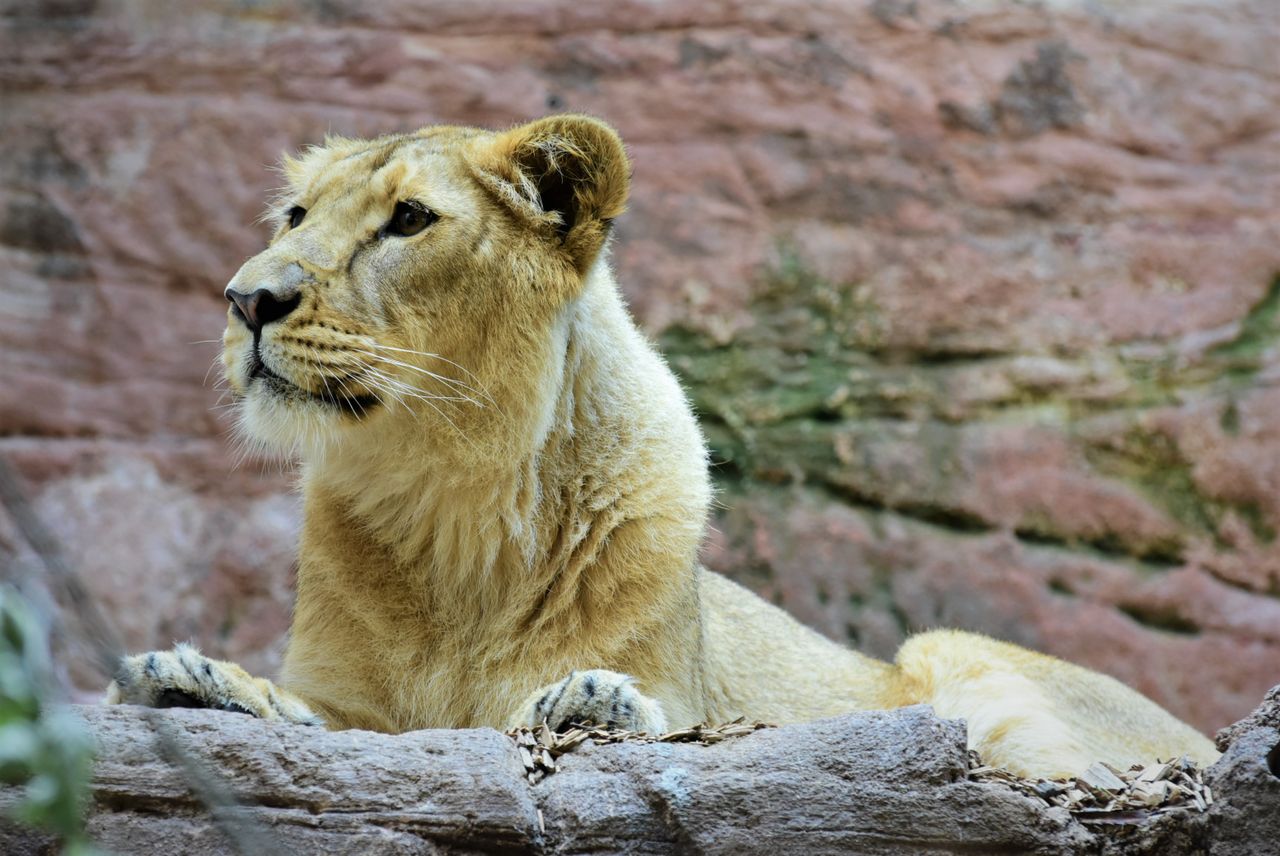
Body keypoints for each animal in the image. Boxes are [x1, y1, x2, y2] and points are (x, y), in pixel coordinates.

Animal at [106, 115, 1217, 778]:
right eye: (295, 213)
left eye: (410, 219)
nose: (247, 297)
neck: (454, 491)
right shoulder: (350, 703)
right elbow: (311, 714)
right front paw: (194, 677)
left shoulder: (694, 688)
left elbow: (672, 714)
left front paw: (588, 698)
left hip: (957, 661)